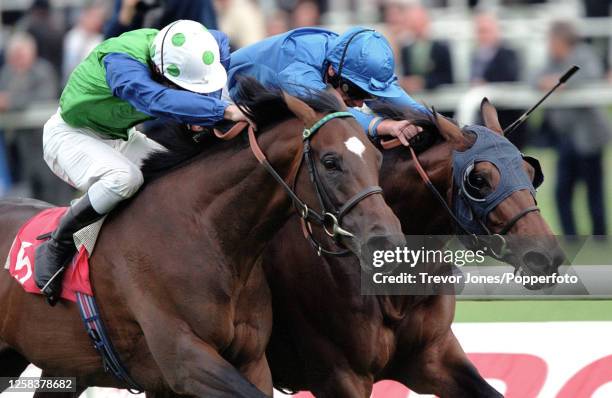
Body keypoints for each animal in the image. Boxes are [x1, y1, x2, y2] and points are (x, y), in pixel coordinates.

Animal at [0, 79, 406, 396]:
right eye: (330, 161)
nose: (387, 241)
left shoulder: (251, 360)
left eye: (376, 158)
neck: (207, 236)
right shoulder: (186, 361)